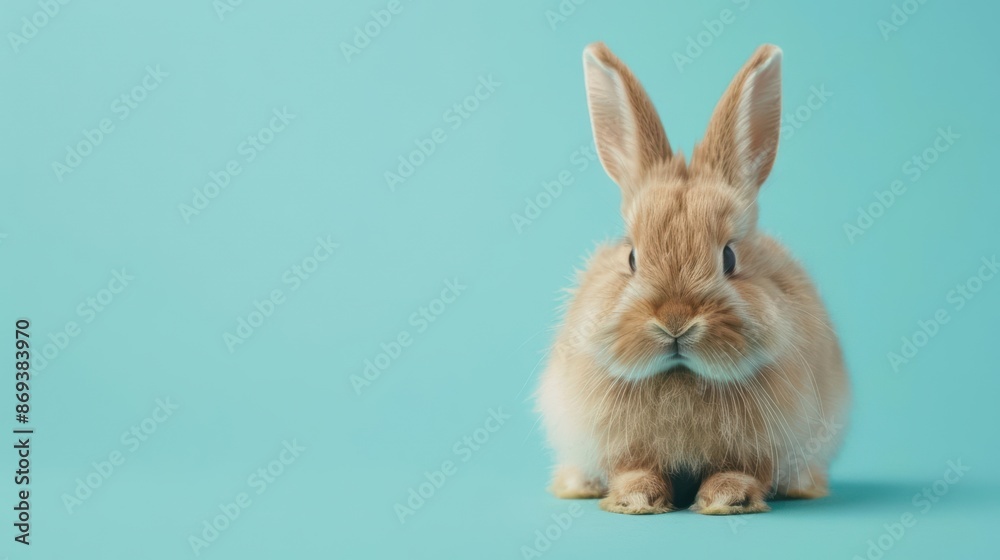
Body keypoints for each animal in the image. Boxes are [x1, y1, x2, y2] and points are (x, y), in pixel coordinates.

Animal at [536, 42, 850, 515]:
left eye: (730, 257)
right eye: (631, 256)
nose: (675, 320)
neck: (681, 378)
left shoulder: (762, 447)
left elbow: (741, 470)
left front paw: (727, 499)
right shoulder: (621, 446)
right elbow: (634, 468)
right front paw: (635, 499)